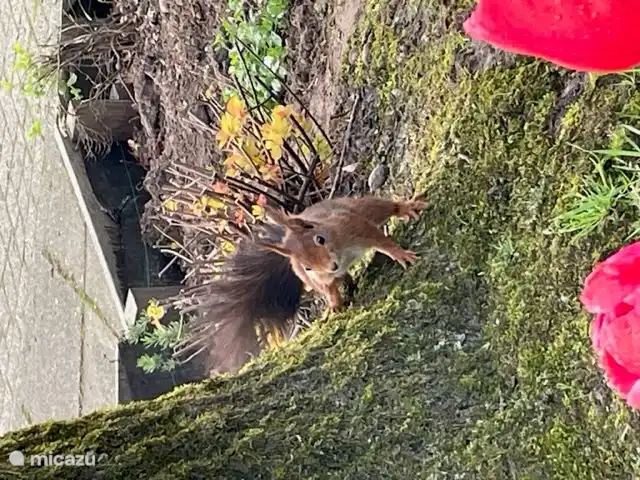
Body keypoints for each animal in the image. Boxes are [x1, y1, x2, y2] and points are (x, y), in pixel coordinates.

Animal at [179, 194, 426, 376]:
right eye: (306, 267)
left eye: (320, 239)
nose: (332, 265)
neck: (342, 253)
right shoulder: (319, 278)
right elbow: (329, 290)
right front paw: (334, 305)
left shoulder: (352, 227)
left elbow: (380, 240)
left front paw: (401, 254)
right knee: (339, 281)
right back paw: (345, 288)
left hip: (358, 208)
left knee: (379, 207)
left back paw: (405, 207)